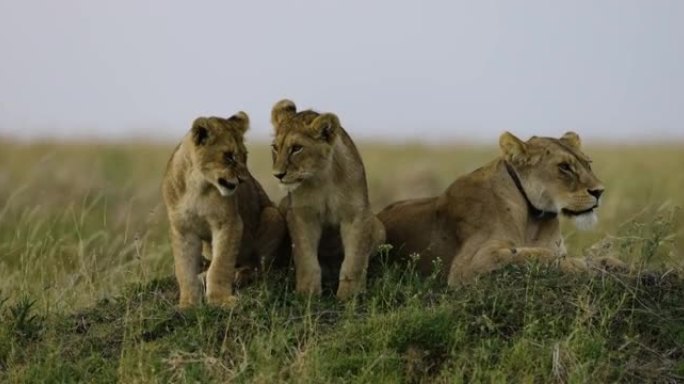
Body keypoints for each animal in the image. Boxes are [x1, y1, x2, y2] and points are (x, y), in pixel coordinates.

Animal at [164, 109, 286, 308]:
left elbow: (221, 264)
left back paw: (240, 275)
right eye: (229, 156)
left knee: (256, 267)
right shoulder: (182, 229)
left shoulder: (230, 222)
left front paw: (220, 299)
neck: (198, 186)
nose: (244, 180)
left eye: (245, 156)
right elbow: (184, 269)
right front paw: (188, 303)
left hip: (272, 215)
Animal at [272, 99, 390, 300]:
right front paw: (307, 294)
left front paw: (349, 295)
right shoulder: (301, 215)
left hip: (378, 227)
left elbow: (354, 260)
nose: (278, 175)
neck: (321, 178)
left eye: (296, 148)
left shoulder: (356, 214)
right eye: (275, 147)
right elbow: (306, 258)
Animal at [380, 132, 624, 284]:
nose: (599, 191)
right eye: (564, 167)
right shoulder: (468, 265)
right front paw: (575, 265)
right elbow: (538, 254)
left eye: (588, 163)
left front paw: (612, 263)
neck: (533, 219)